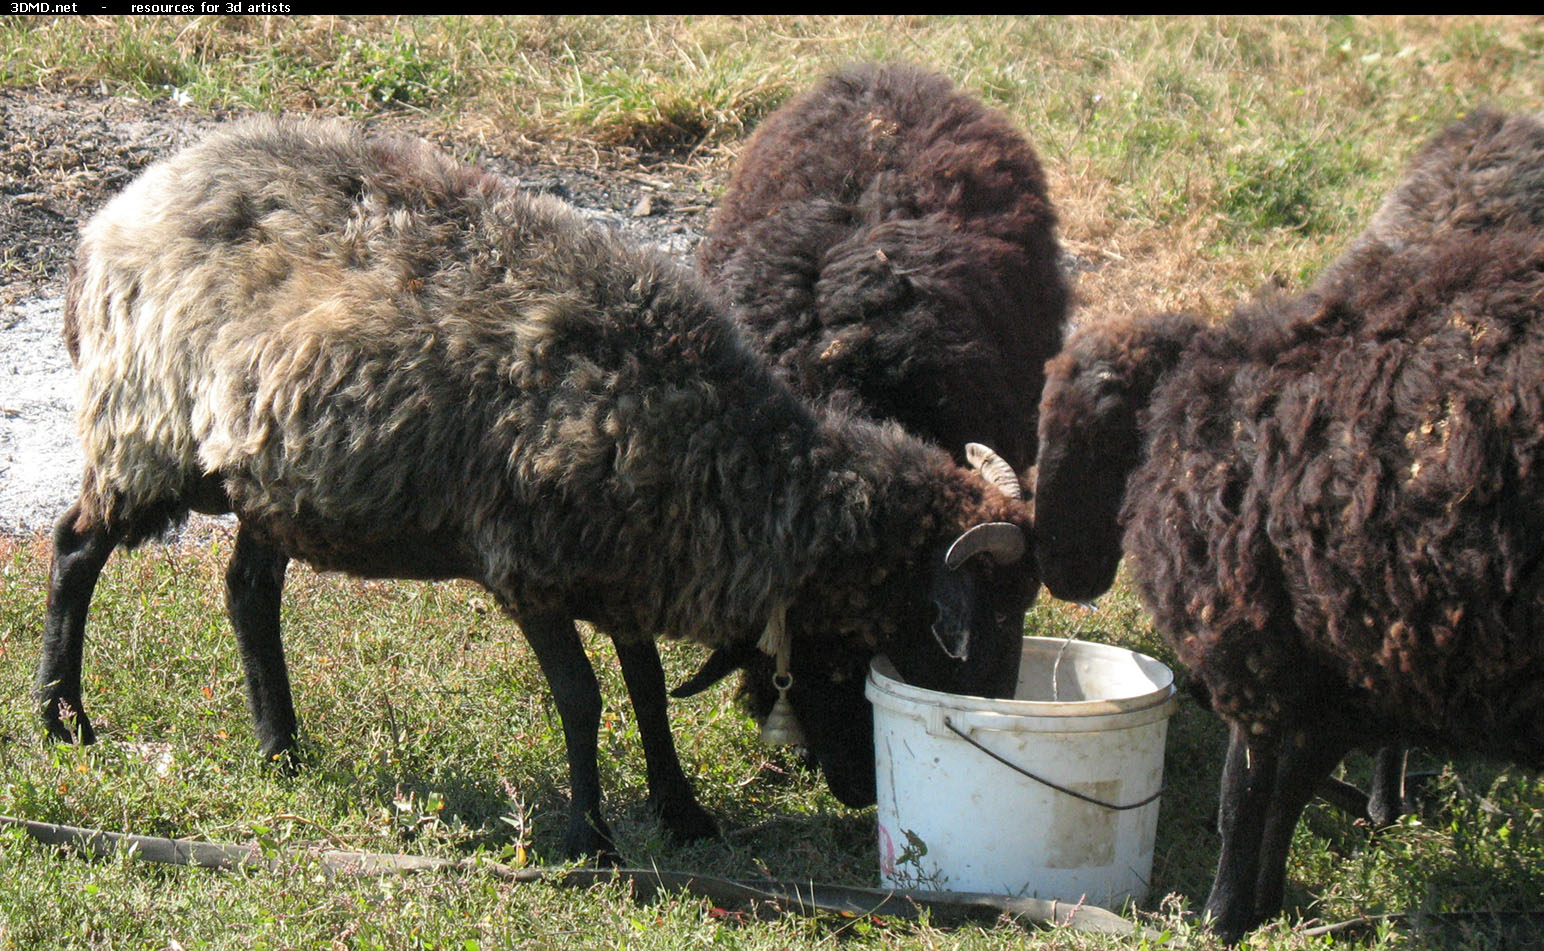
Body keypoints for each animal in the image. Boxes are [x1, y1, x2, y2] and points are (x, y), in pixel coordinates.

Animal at [36, 117, 1031, 864]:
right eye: (953, 631)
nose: (865, 794)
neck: (721, 454)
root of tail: (117, 213)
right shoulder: (530, 570)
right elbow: (583, 698)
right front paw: (593, 840)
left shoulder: (625, 571)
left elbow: (646, 690)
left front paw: (682, 812)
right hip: (145, 428)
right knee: (75, 548)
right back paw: (63, 718)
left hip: (264, 476)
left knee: (247, 593)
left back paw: (281, 747)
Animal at [1031, 108, 1544, 938]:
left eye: (1081, 432)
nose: (1057, 571)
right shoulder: (1343, 659)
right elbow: (1291, 789)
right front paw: (1269, 903)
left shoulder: (1258, 652)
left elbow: (1247, 793)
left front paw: (1221, 915)